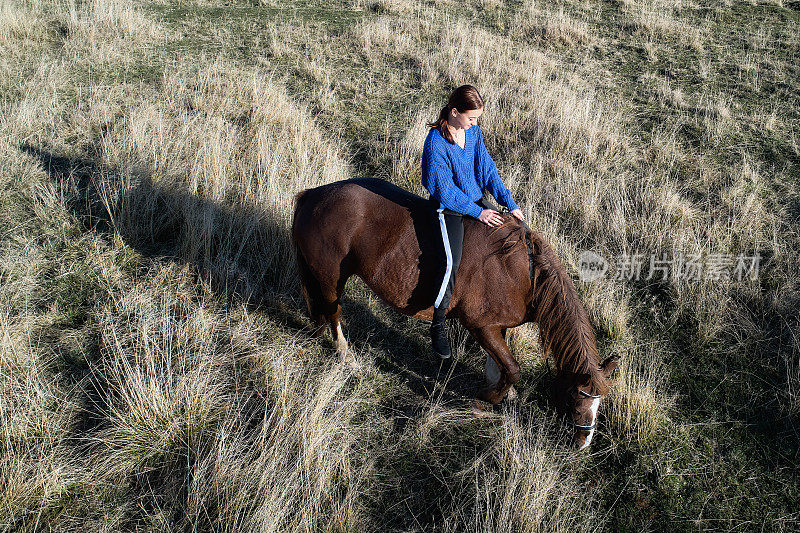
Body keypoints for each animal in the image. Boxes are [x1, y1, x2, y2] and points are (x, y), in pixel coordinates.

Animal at [290, 179, 616, 448]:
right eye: (575, 397)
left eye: (600, 402)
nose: (583, 442)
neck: (523, 273)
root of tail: (314, 195)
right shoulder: (480, 325)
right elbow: (512, 368)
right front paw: (486, 399)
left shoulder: (496, 325)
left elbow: (498, 363)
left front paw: (501, 392)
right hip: (331, 279)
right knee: (334, 313)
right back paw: (346, 356)